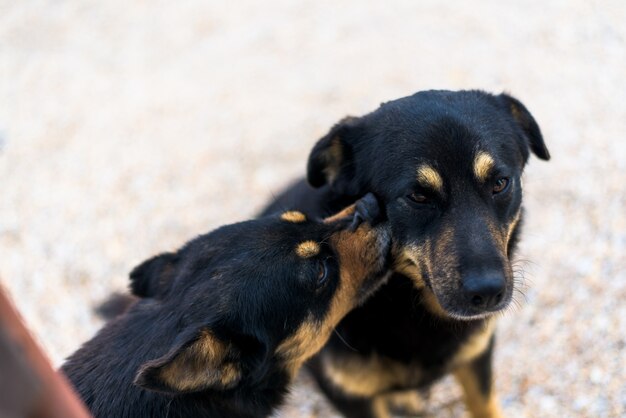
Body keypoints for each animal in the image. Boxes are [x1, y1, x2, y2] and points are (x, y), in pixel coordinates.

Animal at [260, 90, 548, 416]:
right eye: (418, 196)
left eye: (500, 183)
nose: (487, 292)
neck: (403, 304)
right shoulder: (348, 394)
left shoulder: (477, 356)